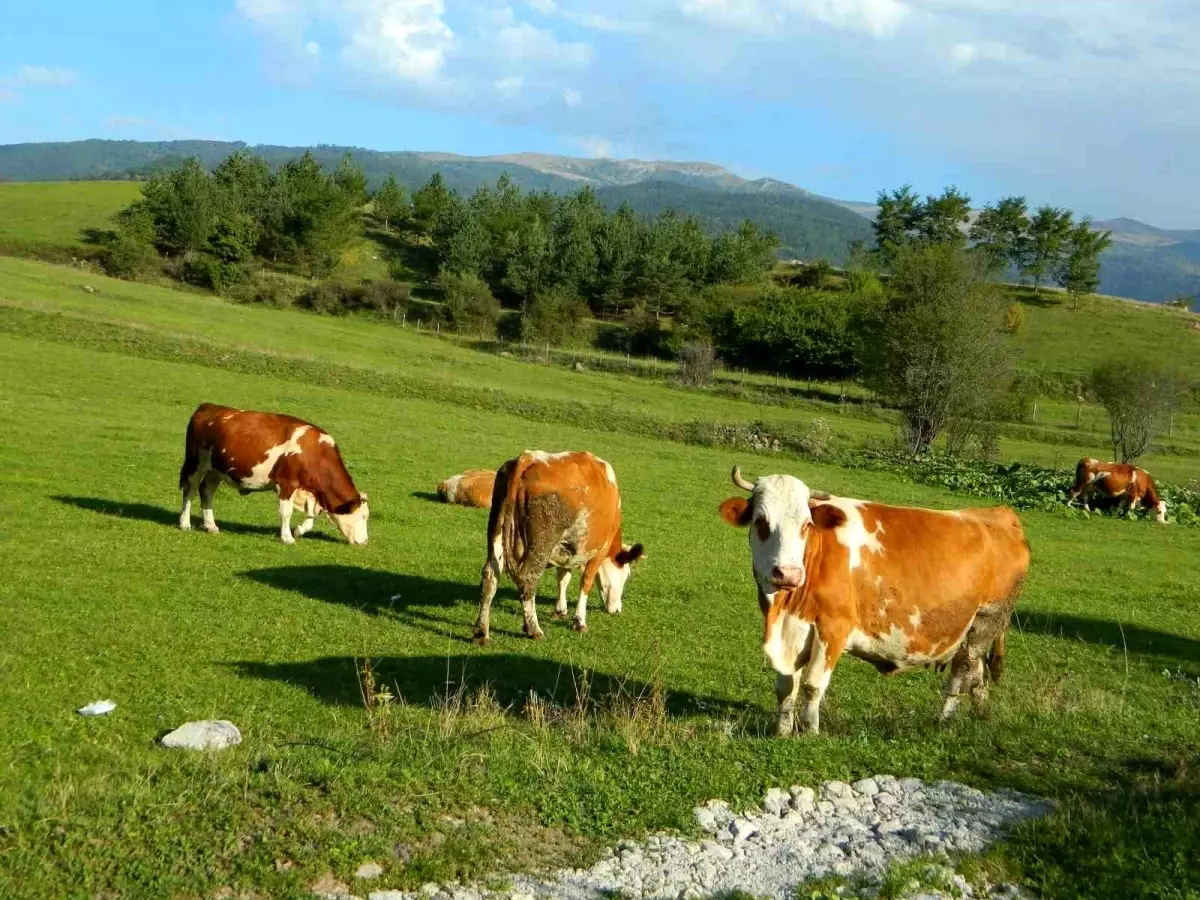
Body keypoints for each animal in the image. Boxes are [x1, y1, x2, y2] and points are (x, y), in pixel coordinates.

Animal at [178, 405, 369, 547]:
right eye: (363, 517)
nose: (365, 541)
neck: (316, 453)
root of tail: (208, 407)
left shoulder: (312, 492)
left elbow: (311, 517)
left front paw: (299, 530)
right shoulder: (287, 484)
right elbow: (286, 513)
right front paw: (287, 537)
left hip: (216, 470)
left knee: (206, 491)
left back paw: (211, 526)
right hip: (196, 463)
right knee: (190, 491)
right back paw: (185, 523)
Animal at [475, 453, 648, 643]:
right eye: (627, 576)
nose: (617, 610)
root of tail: (528, 458)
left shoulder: (566, 550)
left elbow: (563, 578)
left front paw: (560, 610)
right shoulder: (600, 549)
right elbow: (586, 581)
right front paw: (579, 621)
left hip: (496, 531)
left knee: (490, 575)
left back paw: (481, 632)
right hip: (541, 543)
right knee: (528, 579)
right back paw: (534, 629)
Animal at [715, 468, 1027, 734]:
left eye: (806, 525)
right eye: (761, 522)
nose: (789, 574)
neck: (785, 607)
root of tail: (998, 512)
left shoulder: (833, 628)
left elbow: (813, 685)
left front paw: (810, 731)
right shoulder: (792, 629)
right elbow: (785, 685)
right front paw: (781, 731)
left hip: (986, 621)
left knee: (964, 671)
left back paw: (943, 720)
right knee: (976, 674)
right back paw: (981, 715)